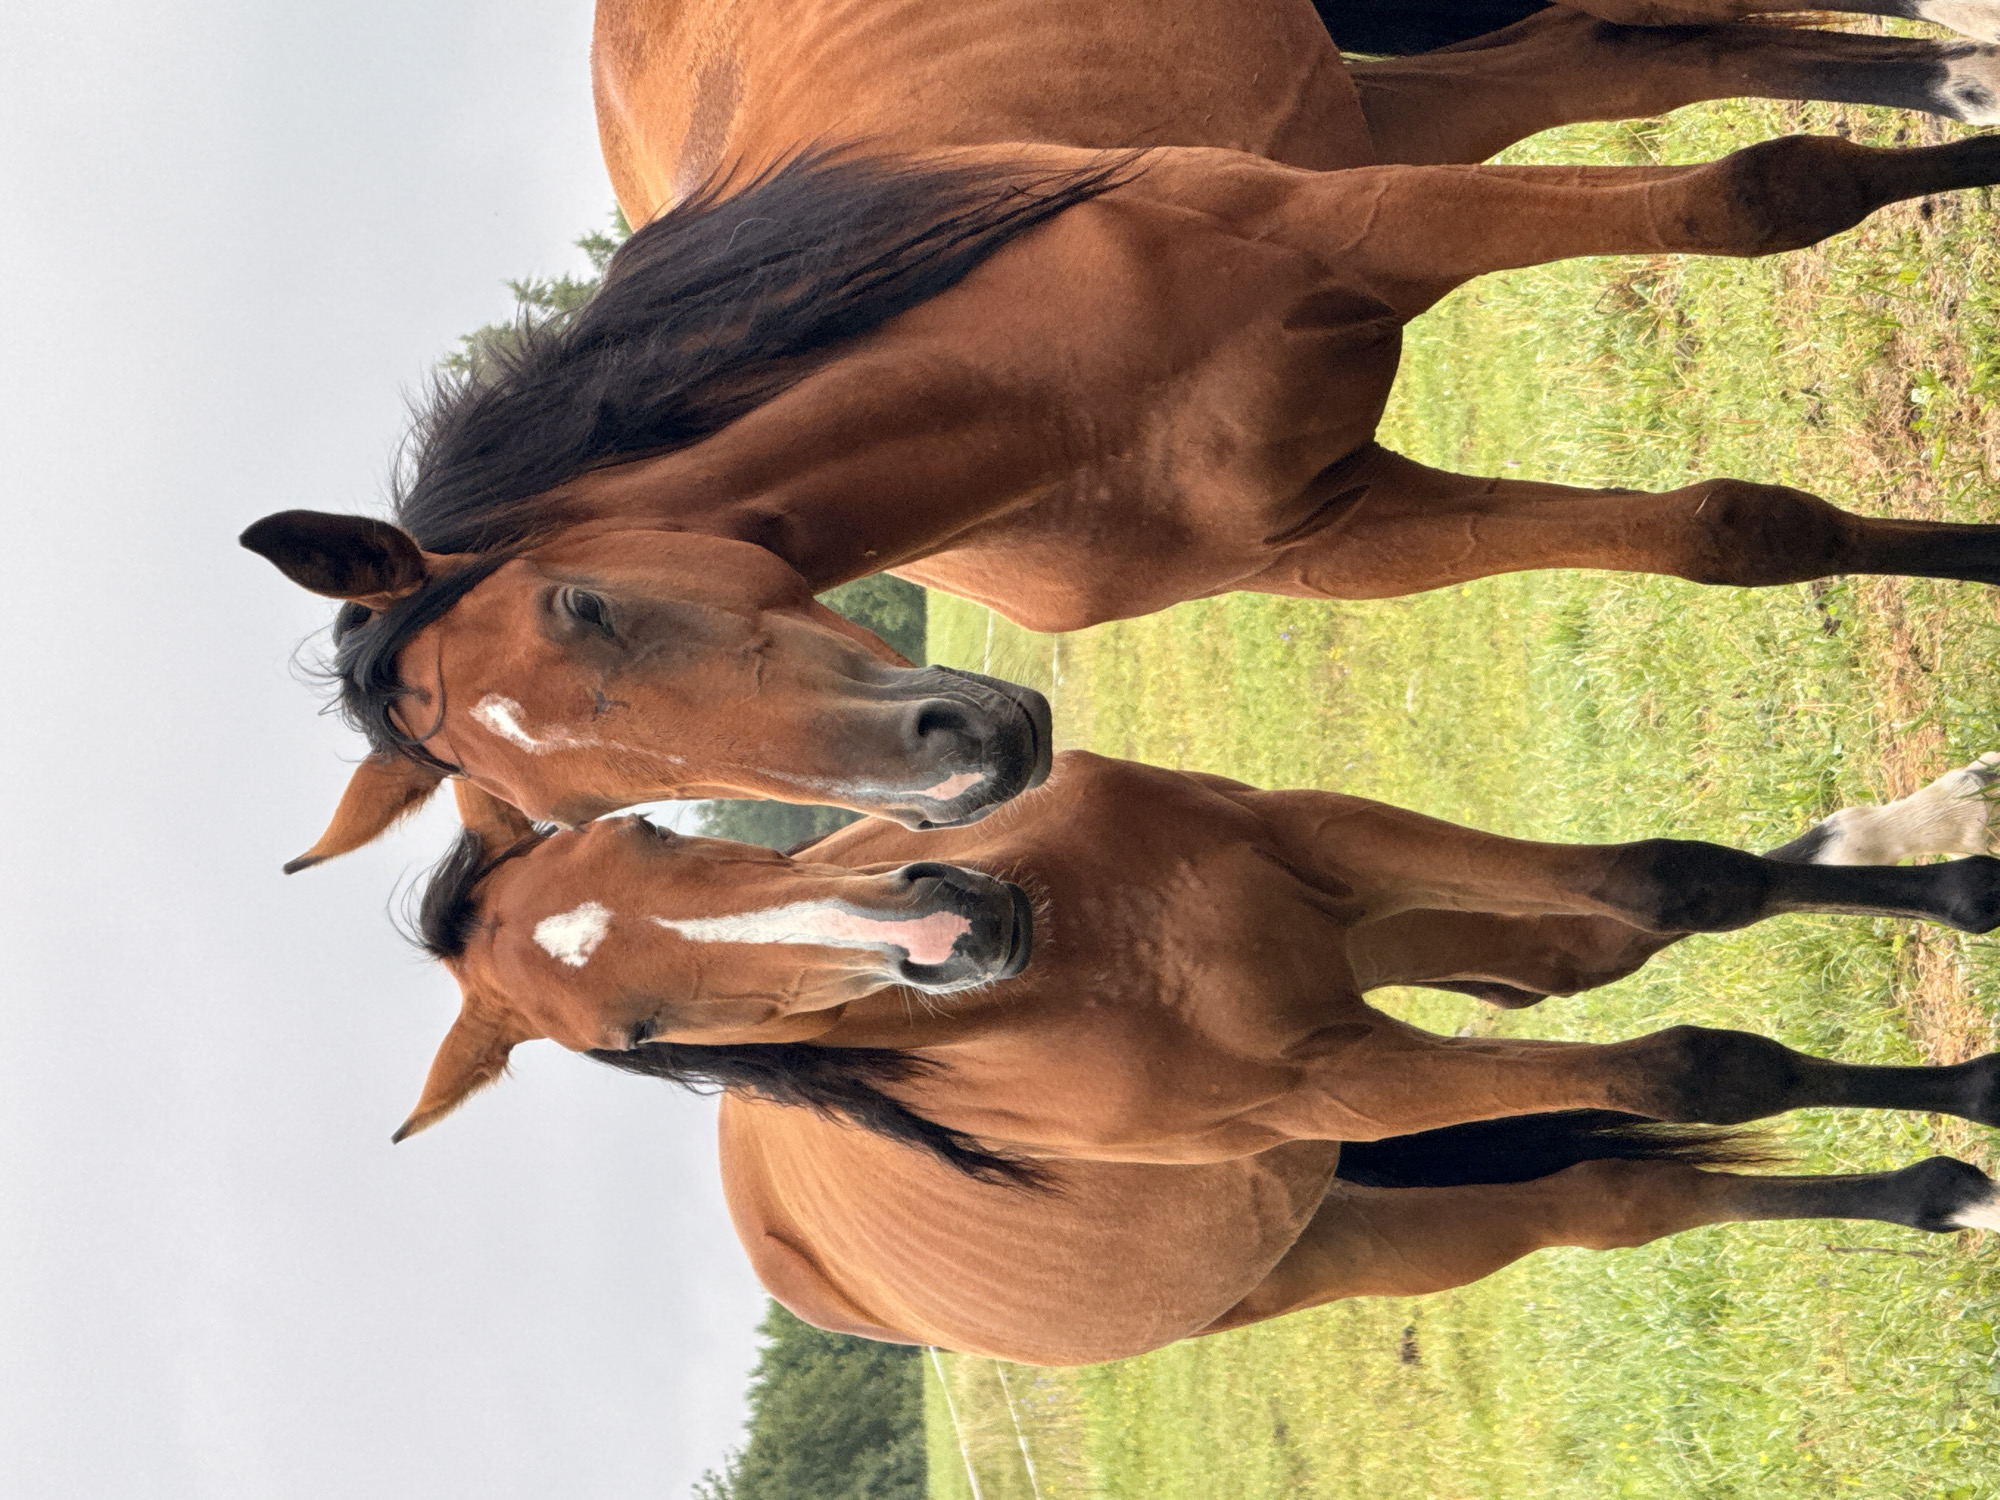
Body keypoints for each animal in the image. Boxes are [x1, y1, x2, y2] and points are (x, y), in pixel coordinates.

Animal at [245, 0, 2000, 867]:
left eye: (584, 604)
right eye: (585, 818)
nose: (957, 774)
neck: (1055, 411)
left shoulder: (1376, 224)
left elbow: (1771, 193)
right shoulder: (1346, 534)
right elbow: (1740, 534)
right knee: (1625, 50)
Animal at [391, 751, 2000, 1360]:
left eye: (649, 827)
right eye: (637, 1038)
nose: (940, 924)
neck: (1086, 953)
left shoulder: (1329, 851)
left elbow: (1679, 888)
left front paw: (1968, 904)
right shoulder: (1344, 1078)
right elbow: (1702, 1071)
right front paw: (1980, 1102)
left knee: (1587, 965)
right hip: (1365, 1225)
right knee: (1623, 1196)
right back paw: (1946, 1190)